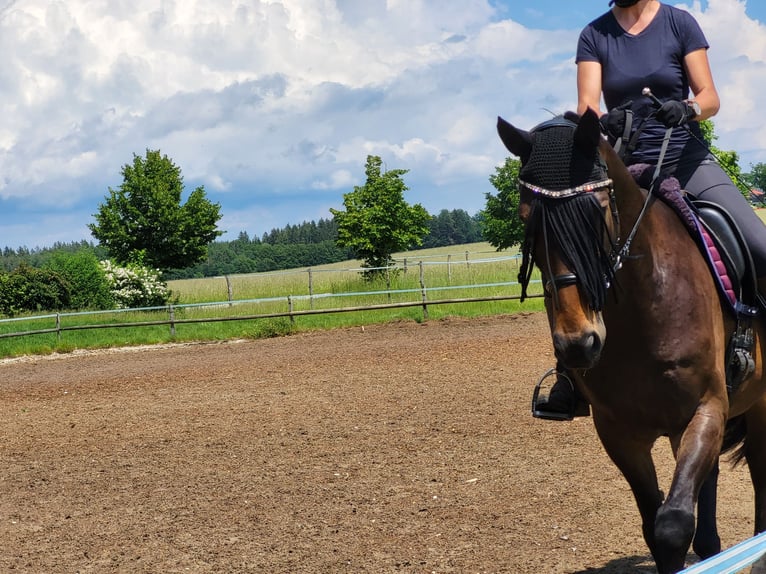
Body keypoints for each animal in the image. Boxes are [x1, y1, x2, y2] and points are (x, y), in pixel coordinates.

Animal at [496, 108, 766, 573]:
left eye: (600, 210)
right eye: (526, 216)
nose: (578, 344)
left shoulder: (706, 408)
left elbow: (672, 524)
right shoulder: (619, 431)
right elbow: (654, 525)